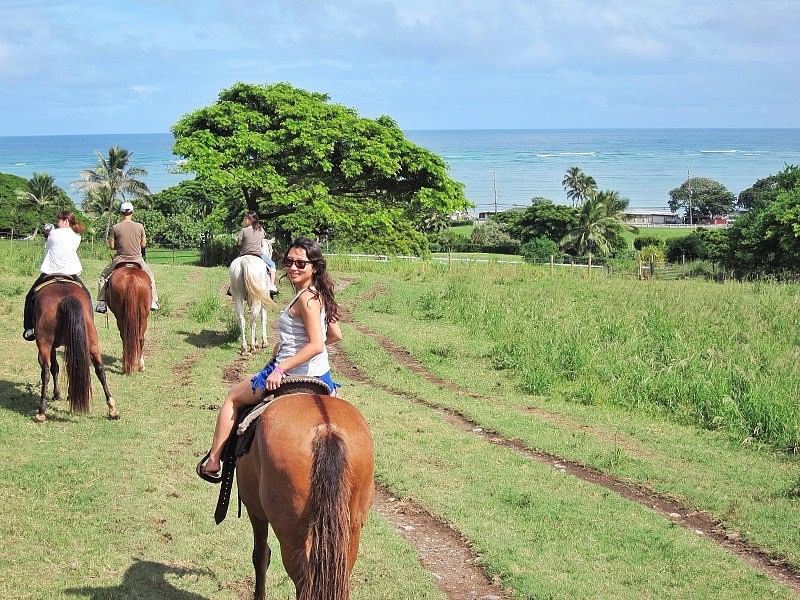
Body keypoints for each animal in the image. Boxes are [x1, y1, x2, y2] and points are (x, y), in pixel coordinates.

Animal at [32, 282, 118, 422]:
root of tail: (66, 298)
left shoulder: (52, 347)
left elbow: (55, 368)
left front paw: (57, 394)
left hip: (44, 343)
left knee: (45, 371)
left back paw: (41, 411)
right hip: (92, 341)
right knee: (100, 368)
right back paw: (112, 409)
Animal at [236, 394, 376, 600]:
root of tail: (327, 429)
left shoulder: (255, 510)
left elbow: (260, 556)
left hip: (292, 533)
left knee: (303, 579)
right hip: (351, 529)